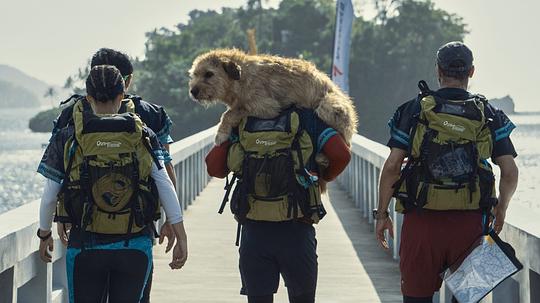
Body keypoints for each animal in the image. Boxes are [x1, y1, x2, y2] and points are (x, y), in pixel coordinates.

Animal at [188, 48, 356, 147]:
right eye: (194, 74)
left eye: (209, 74)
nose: (193, 91)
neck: (241, 78)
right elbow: (232, 110)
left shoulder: (266, 107)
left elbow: (229, 113)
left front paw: (221, 134)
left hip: (328, 106)